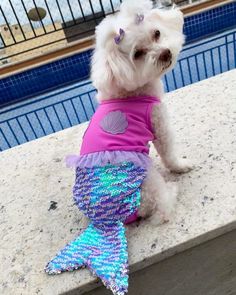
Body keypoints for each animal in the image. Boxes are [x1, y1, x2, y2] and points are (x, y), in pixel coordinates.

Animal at [90, 0, 192, 225]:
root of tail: (107, 219)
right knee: (162, 209)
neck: (128, 92)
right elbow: (169, 154)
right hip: (148, 178)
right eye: (137, 54)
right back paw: (171, 191)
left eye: (157, 33)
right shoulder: (159, 125)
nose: (165, 53)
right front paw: (181, 165)